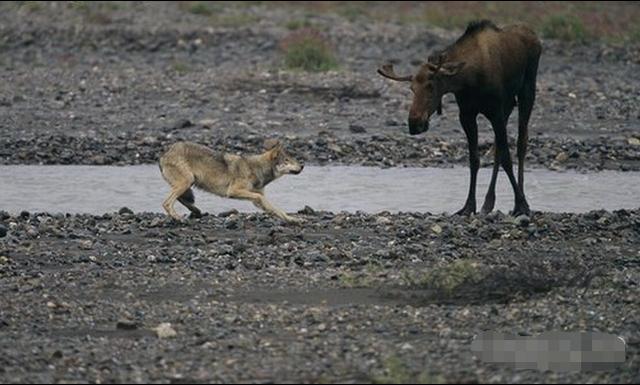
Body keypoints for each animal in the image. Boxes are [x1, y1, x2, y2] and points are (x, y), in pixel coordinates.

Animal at [378, 21, 544, 216]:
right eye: (412, 88)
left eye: (431, 86)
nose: (414, 123)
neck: (470, 80)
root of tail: (535, 37)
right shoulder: (467, 115)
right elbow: (474, 159)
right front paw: (469, 206)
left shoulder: (495, 111)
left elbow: (506, 158)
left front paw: (521, 204)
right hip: (509, 104)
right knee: (498, 146)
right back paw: (488, 202)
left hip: (527, 91)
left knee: (521, 142)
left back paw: (520, 197)